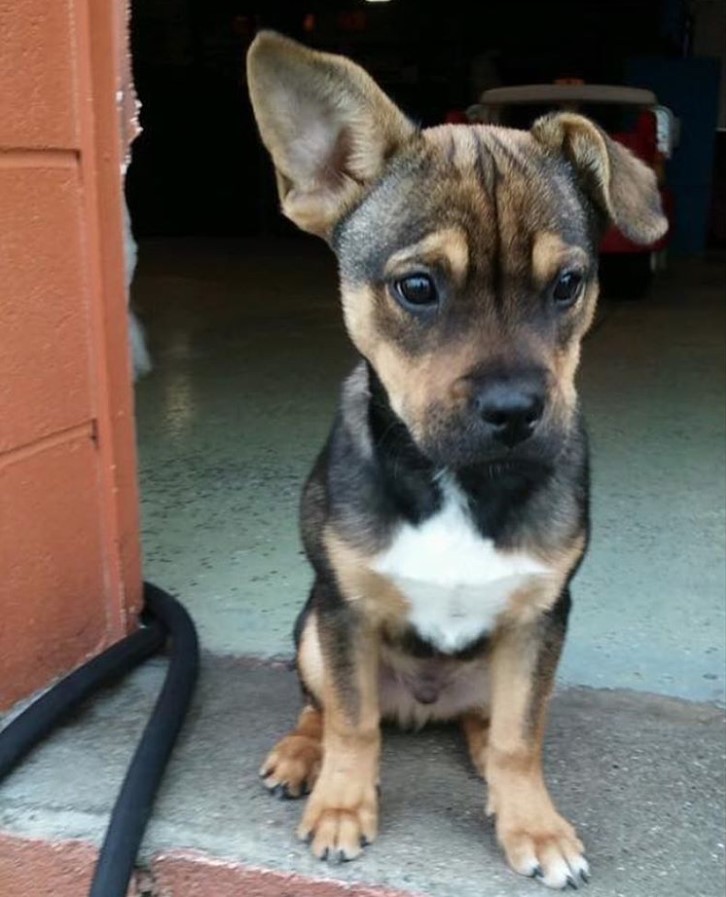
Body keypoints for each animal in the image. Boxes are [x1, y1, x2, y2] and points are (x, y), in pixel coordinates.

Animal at [247, 29, 668, 888]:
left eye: (568, 284)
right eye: (417, 287)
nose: (514, 411)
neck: (456, 480)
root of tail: (422, 702)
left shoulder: (542, 617)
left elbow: (519, 734)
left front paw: (533, 824)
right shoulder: (343, 609)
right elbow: (352, 721)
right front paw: (342, 806)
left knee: (490, 721)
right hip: (312, 627)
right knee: (327, 704)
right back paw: (303, 754)